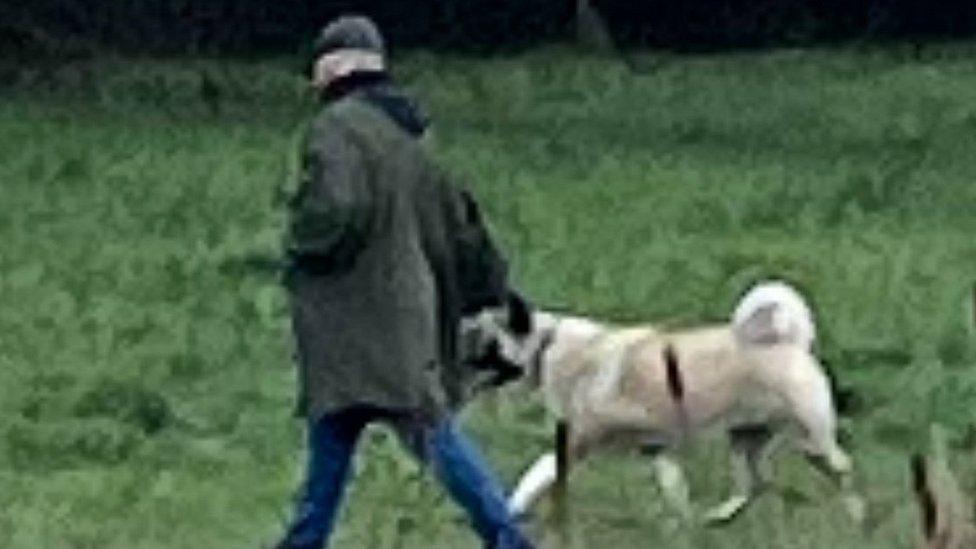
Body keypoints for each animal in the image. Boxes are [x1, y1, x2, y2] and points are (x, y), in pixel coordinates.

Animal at [468, 282, 864, 528]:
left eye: (481, 343)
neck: (546, 348)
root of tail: (792, 341)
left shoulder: (577, 441)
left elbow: (534, 475)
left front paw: (509, 508)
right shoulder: (657, 449)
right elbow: (675, 490)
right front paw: (684, 528)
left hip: (811, 440)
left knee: (841, 469)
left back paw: (859, 518)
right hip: (744, 439)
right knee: (753, 484)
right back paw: (719, 517)